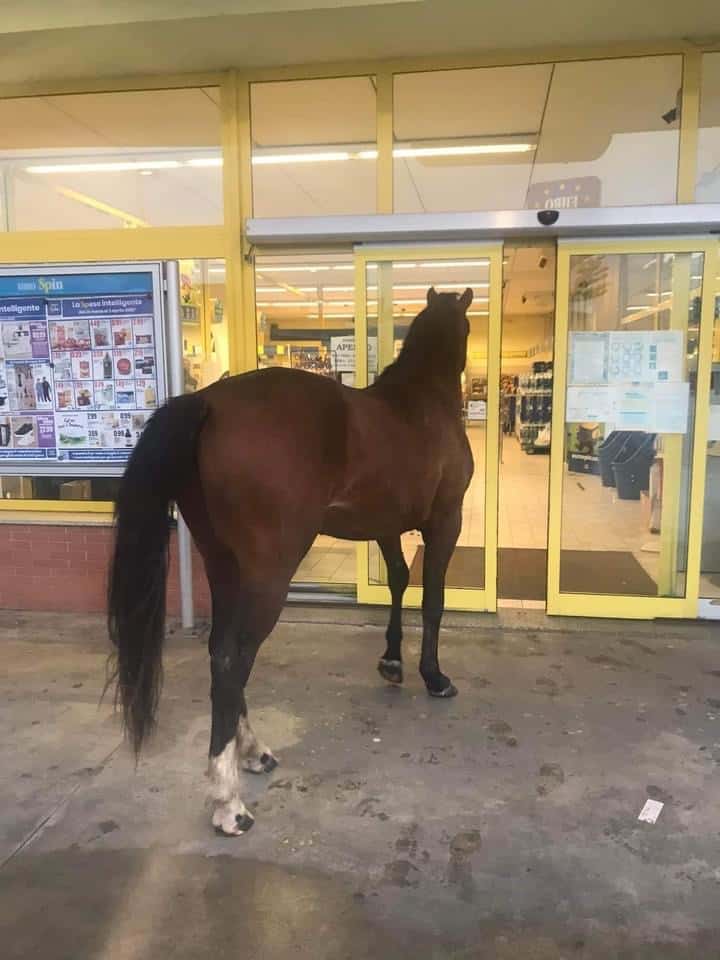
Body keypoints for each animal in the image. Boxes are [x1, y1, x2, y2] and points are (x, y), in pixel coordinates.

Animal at [108, 286, 475, 836]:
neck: (421, 402)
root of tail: (208, 401)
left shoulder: (386, 525)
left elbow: (397, 579)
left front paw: (392, 661)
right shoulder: (445, 521)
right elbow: (431, 598)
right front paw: (434, 676)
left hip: (224, 565)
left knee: (220, 650)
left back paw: (252, 751)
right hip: (270, 574)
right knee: (232, 659)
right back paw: (229, 800)